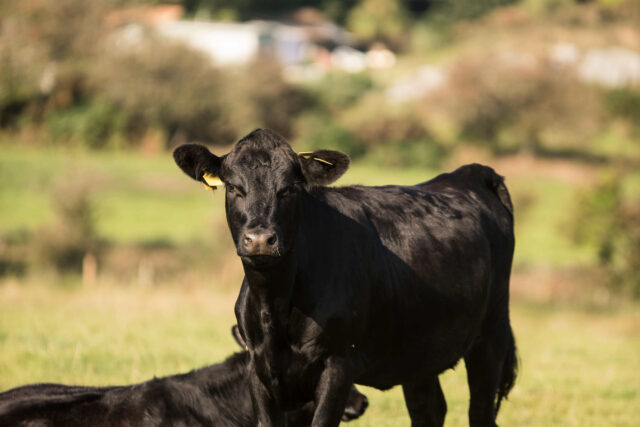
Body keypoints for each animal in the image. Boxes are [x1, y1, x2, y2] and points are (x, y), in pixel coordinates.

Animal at [172, 130, 516, 427]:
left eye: (289, 189)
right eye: (233, 188)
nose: (259, 240)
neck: (276, 306)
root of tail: (470, 173)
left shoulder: (337, 365)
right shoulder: (258, 369)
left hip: (492, 332)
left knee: (480, 412)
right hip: (419, 348)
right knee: (429, 409)